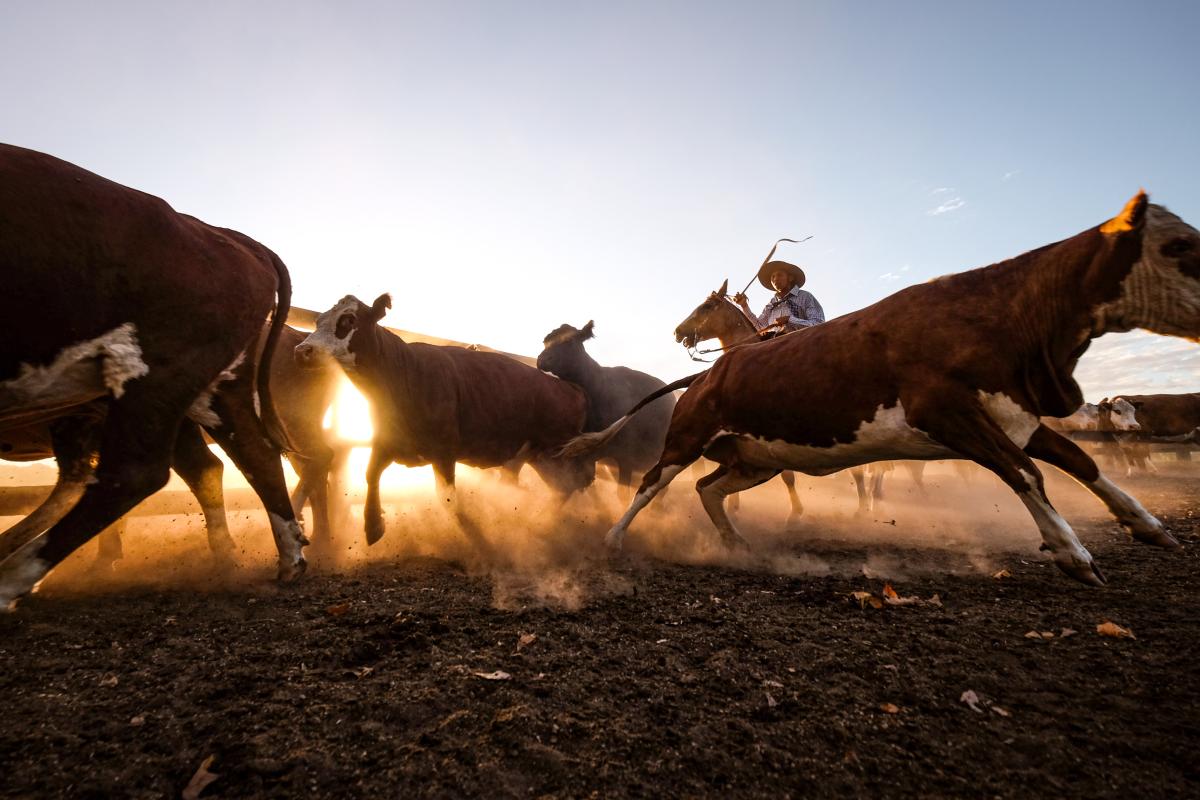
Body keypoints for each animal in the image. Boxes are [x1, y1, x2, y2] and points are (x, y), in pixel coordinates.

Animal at [0, 145, 309, 606]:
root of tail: (225, 234)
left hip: (158, 377)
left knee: (135, 472)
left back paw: (13, 576)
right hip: (213, 389)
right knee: (253, 455)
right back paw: (282, 558)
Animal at [295, 293, 595, 544]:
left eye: (348, 319)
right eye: (319, 321)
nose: (302, 350)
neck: (404, 373)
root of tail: (570, 386)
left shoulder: (444, 452)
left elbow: (448, 498)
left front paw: (477, 536)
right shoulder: (387, 442)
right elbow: (371, 474)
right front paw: (373, 526)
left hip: (556, 451)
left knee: (575, 482)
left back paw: (545, 520)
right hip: (537, 455)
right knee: (567, 486)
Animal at [564, 190, 1200, 585]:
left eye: (1182, 243)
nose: (679, 332)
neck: (998, 315)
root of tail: (704, 377)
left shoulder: (1012, 419)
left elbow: (1074, 464)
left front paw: (1147, 526)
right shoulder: (954, 415)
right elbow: (1027, 473)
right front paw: (1073, 552)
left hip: (754, 459)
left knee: (706, 488)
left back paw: (734, 541)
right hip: (690, 438)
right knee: (652, 482)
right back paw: (615, 539)